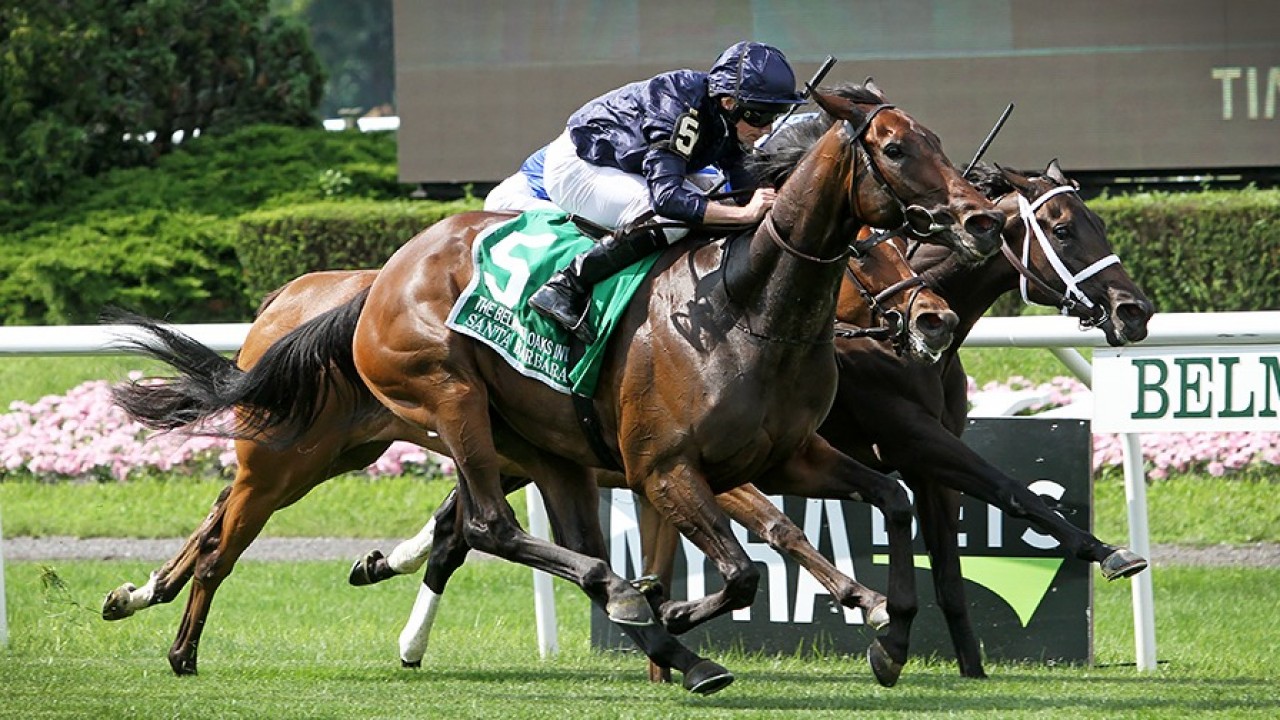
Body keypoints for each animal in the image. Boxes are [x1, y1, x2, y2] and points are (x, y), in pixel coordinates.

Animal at [104, 82, 1004, 690]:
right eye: (894, 149)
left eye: (938, 140)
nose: (980, 220)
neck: (746, 308)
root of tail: (376, 280)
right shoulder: (667, 468)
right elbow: (746, 566)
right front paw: (683, 610)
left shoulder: (783, 456)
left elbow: (888, 500)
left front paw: (890, 638)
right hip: (417, 411)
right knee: (480, 527)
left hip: (528, 451)